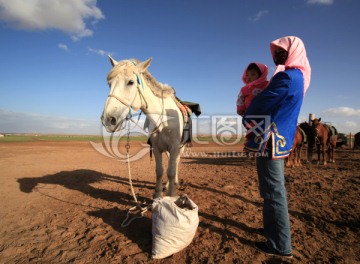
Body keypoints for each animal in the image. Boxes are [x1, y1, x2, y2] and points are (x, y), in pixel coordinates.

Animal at [101, 57, 186, 198]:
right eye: (109, 84)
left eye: (131, 82)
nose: (108, 120)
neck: (163, 119)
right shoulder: (157, 148)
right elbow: (159, 171)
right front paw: (158, 195)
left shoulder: (174, 147)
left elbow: (171, 171)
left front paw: (172, 195)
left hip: (181, 147)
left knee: (176, 163)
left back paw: (175, 182)